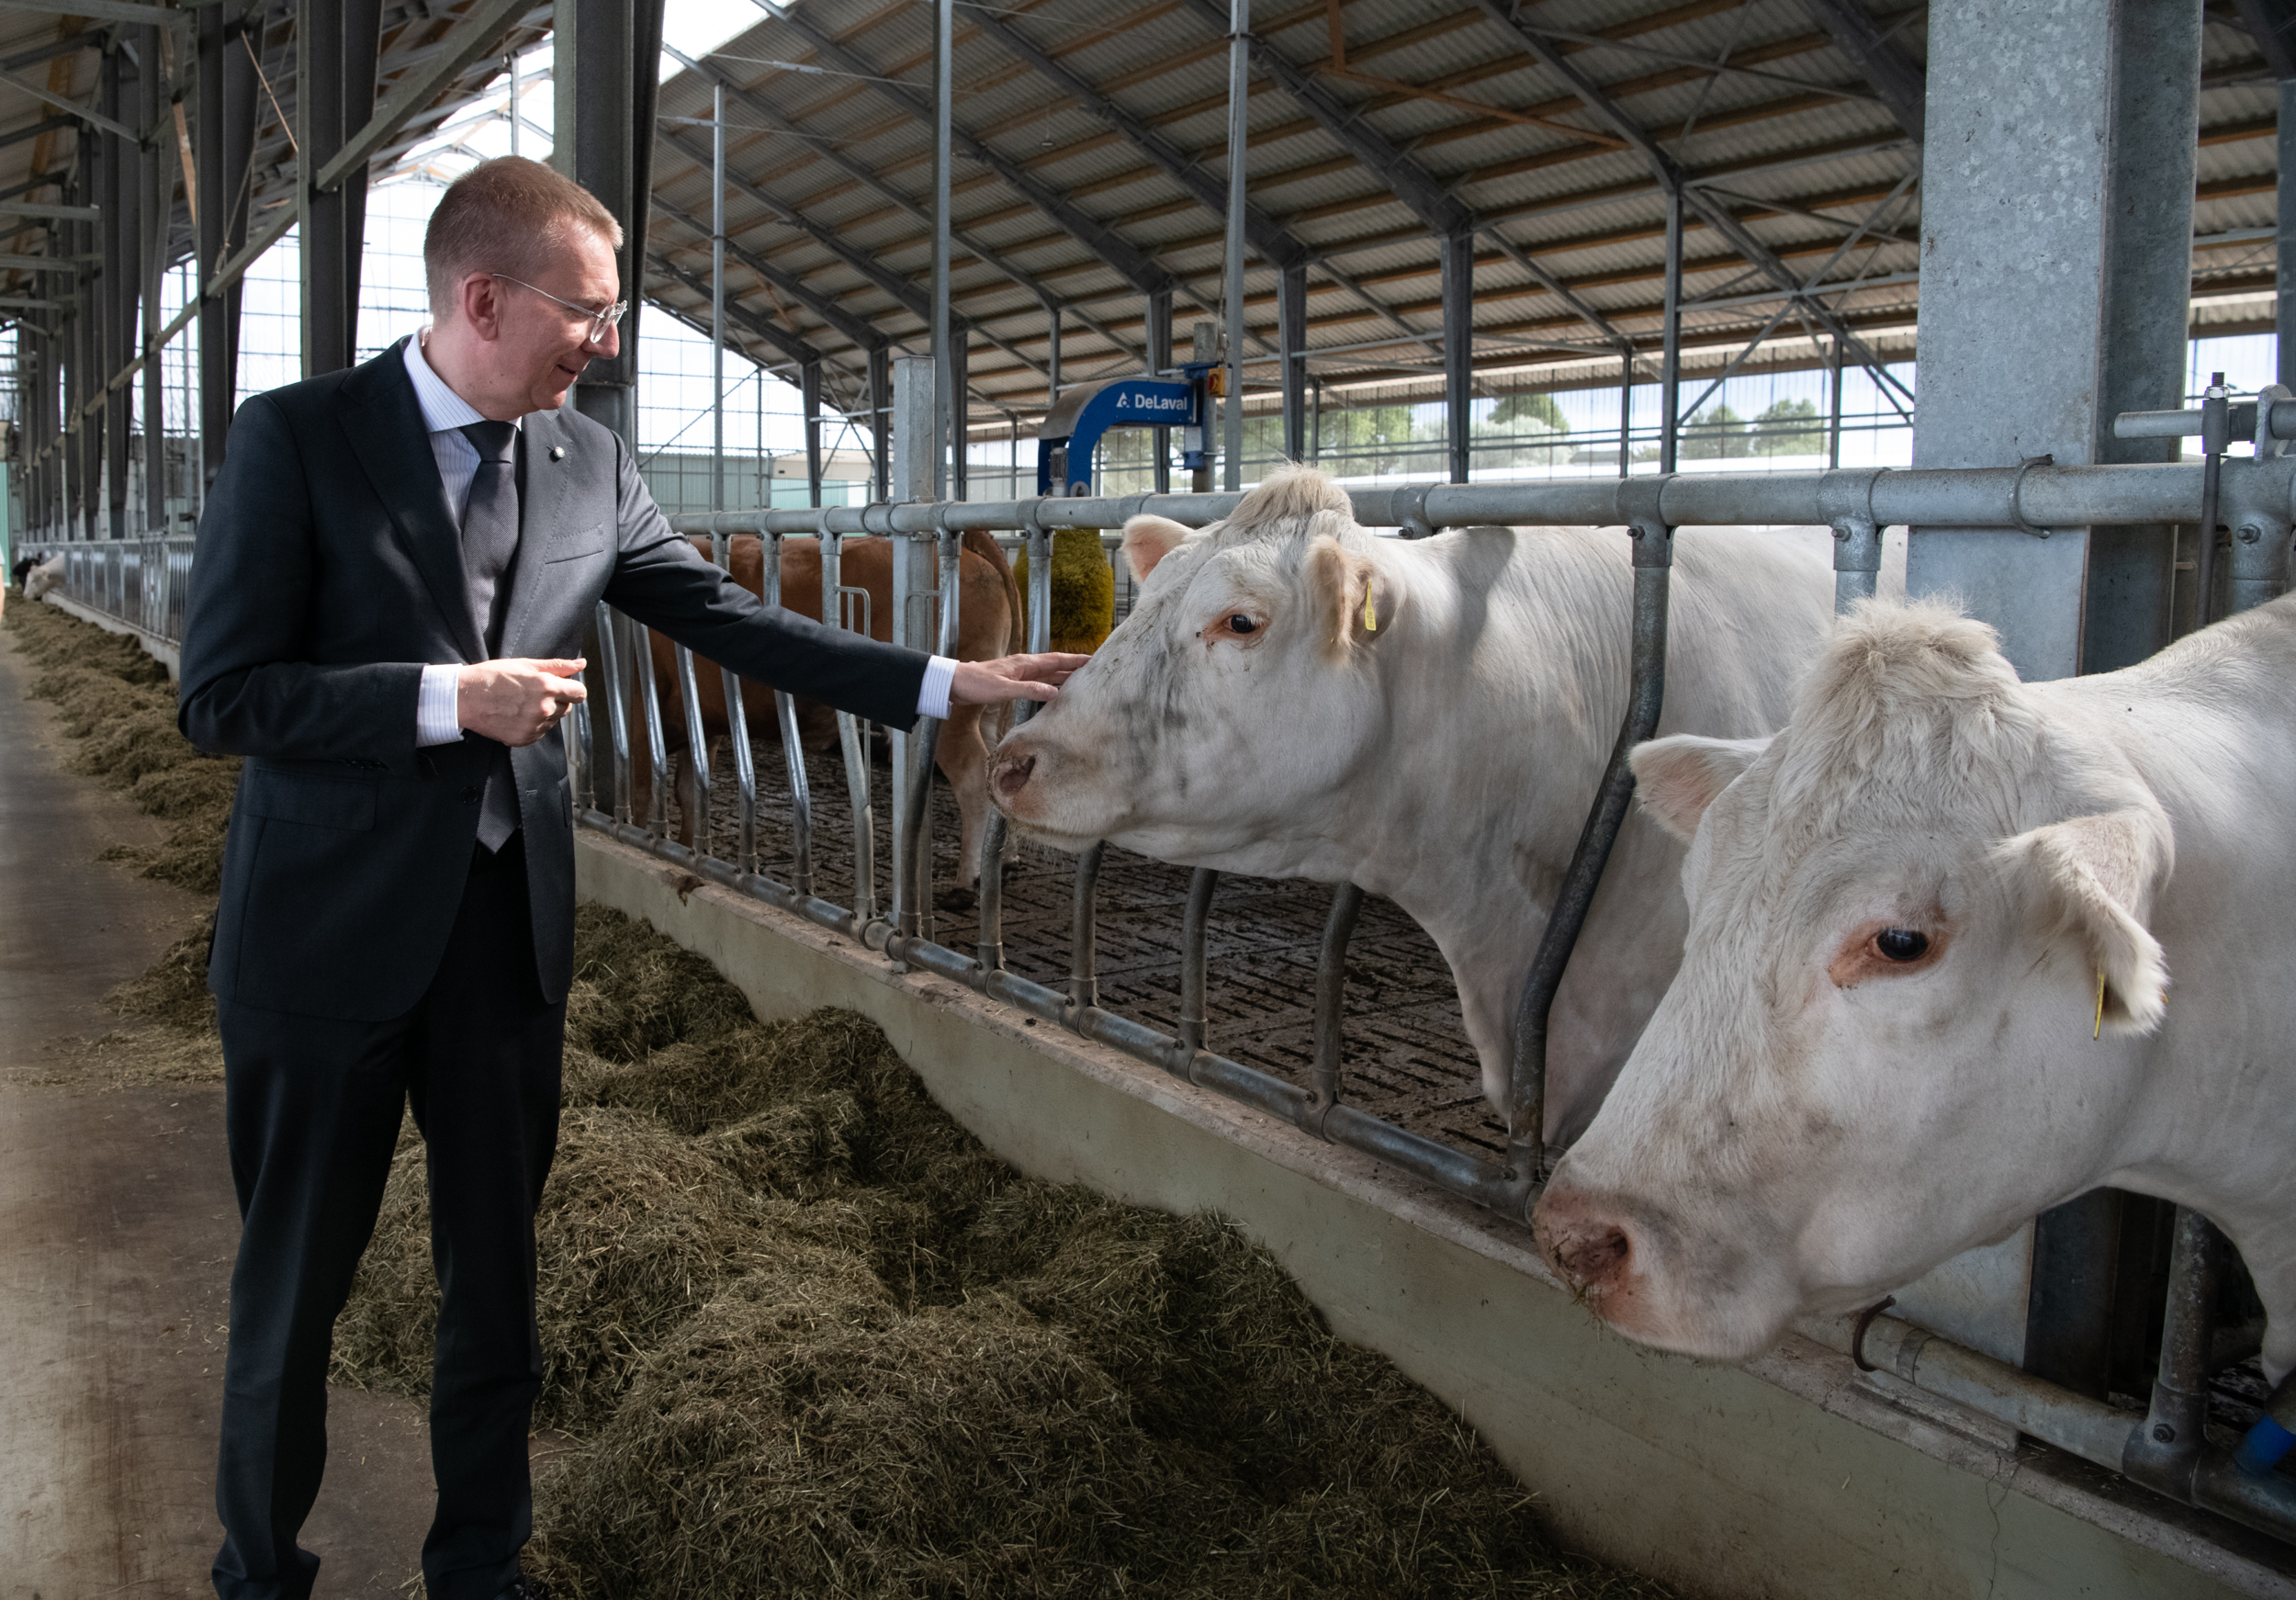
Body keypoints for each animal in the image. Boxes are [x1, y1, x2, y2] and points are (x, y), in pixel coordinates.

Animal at [632, 531, 1022, 904]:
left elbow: (645, 791)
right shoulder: (702, 723)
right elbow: (690, 793)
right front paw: (685, 851)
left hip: (952, 722)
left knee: (975, 781)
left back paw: (966, 884)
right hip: (985, 714)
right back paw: (999, 866)